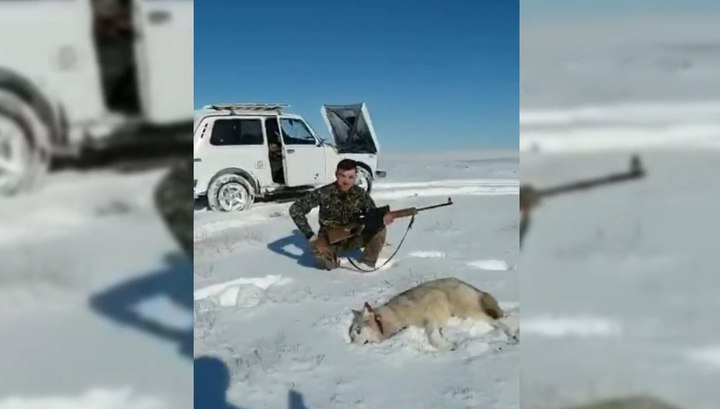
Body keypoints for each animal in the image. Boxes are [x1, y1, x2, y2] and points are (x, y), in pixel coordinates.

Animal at [348, 277, 518, 350]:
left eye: (358, 331)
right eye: (351, 336)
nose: (351, 346)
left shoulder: (428, 318)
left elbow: (431, 336)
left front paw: (445, 346)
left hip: (466, 311)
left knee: (500, 320)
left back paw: (512, 331)